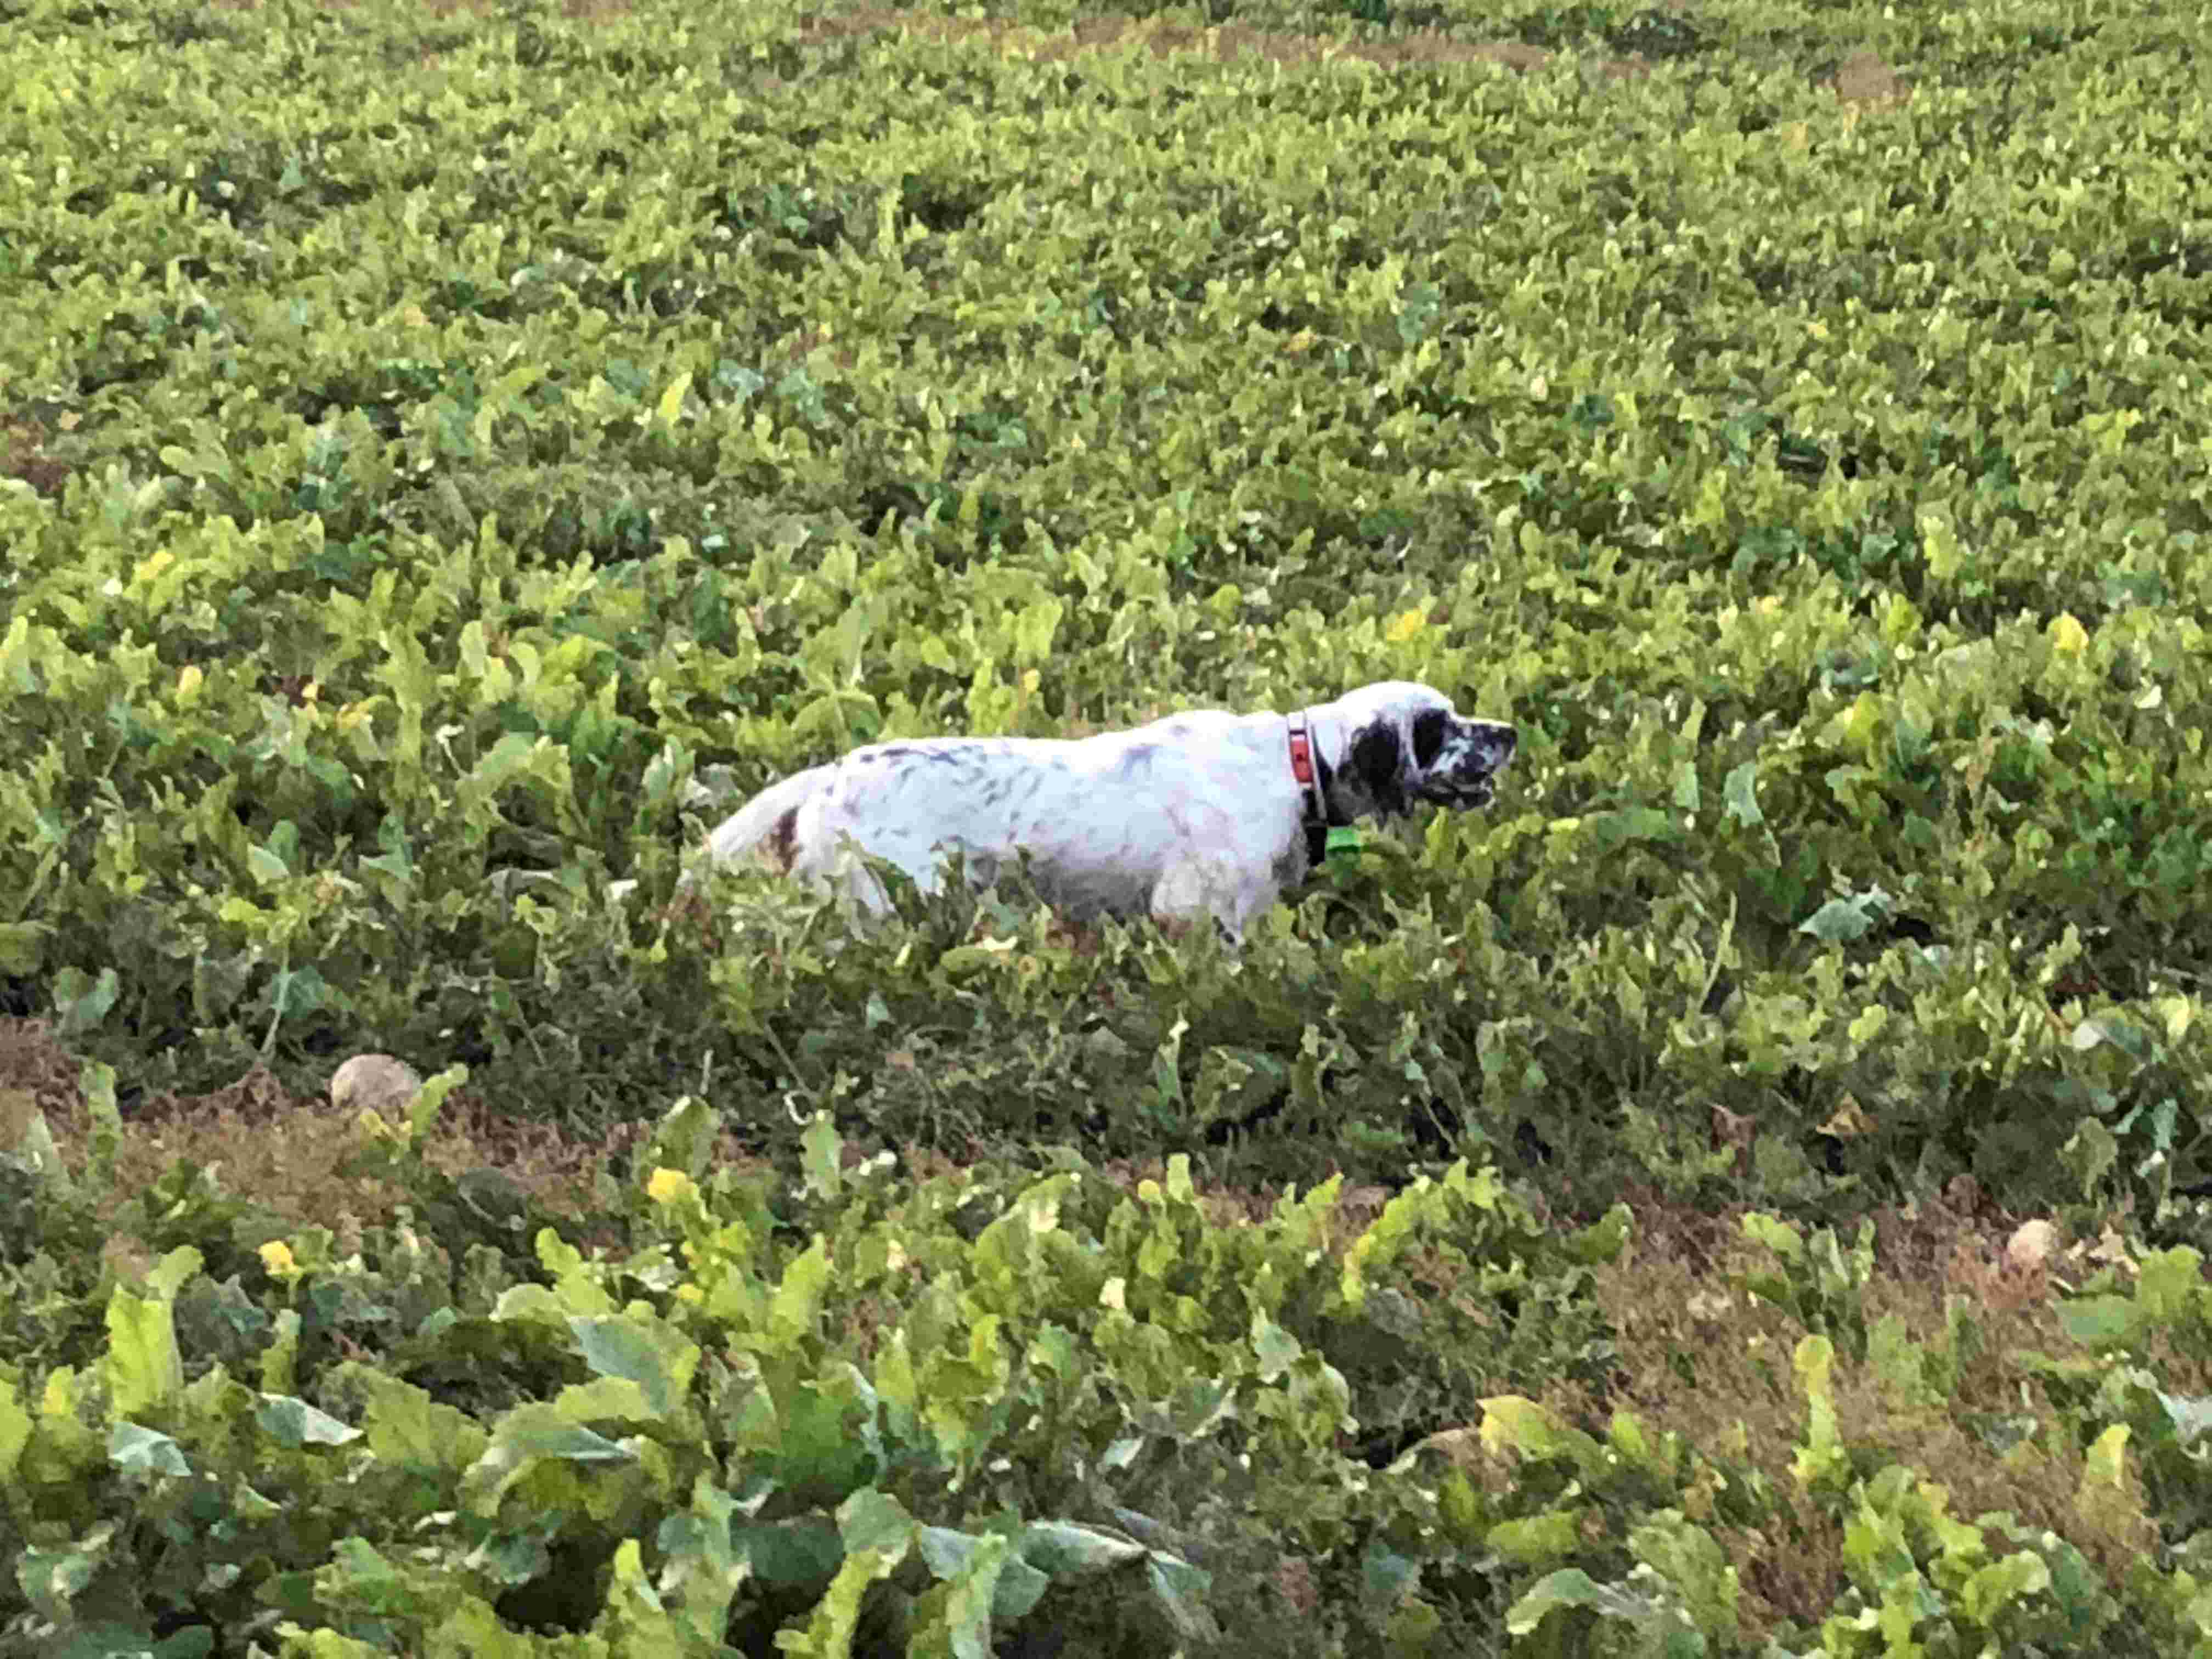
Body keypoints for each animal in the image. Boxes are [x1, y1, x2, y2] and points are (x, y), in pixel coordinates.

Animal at [685, 685, 1522, 946]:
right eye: (1440, 727)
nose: (1510, 733)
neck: (1295, 768)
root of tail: (829, 777)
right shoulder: (1198, 908)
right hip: (888, 900)